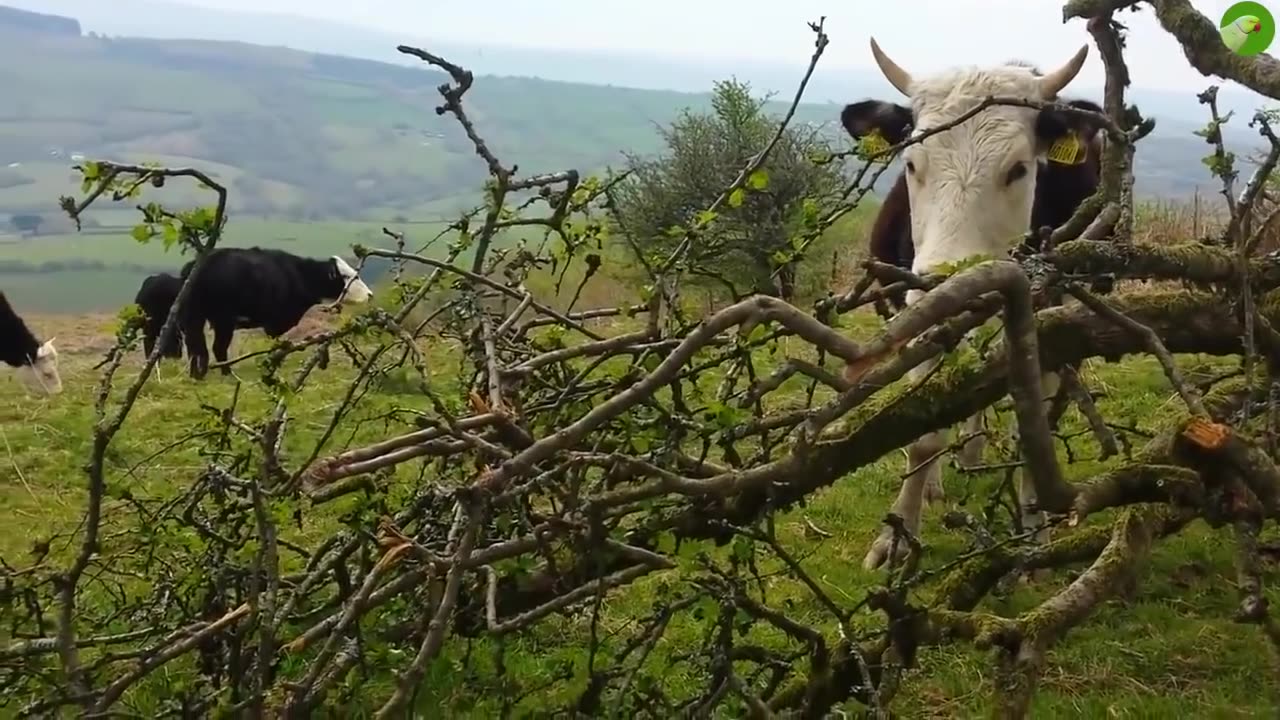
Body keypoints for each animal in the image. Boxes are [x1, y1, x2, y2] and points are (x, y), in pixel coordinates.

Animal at [177, 245, 373, 379]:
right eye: (347, 277)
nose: (370, 295)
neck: (299, 274)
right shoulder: (277, 322)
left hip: (195, 317)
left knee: (195, 345)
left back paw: (197, 375)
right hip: (223, 319)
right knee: (216, 347)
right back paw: (227, 374)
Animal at [839, 37, 1100, 566]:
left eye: (1019, 169)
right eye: (911, 162)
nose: (948, 284)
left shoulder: (1052, 324)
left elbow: (1032, 430)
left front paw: (1036, 534)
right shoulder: (918, 316)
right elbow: (923, 436)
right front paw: (896, 536)